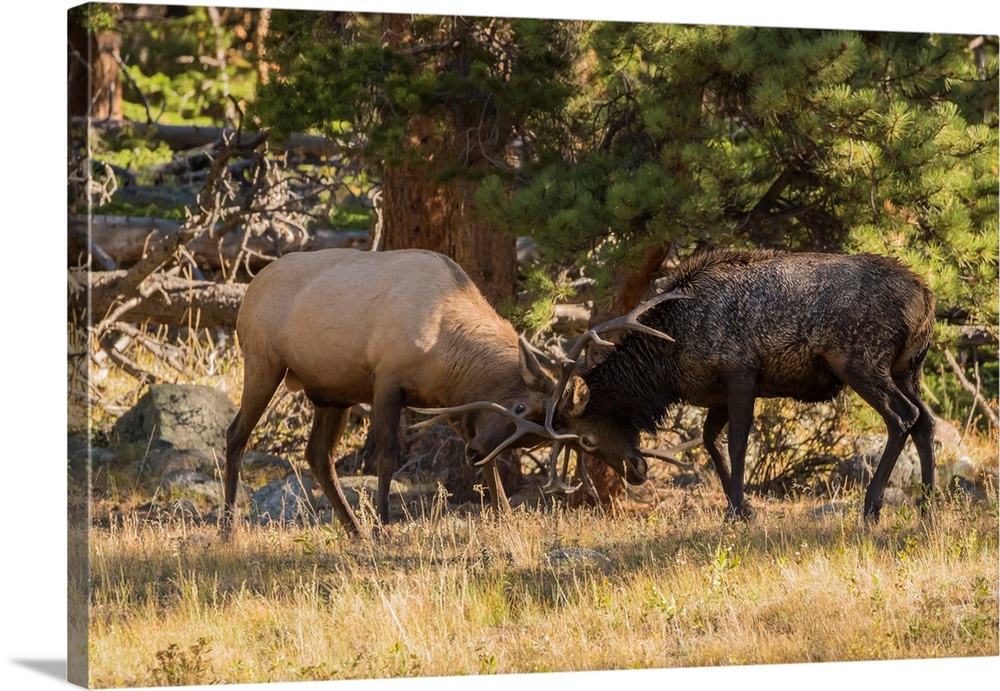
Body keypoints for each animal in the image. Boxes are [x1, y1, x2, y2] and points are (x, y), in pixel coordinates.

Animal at [225, 249, 572, 540]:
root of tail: (249, 292)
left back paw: (355, 531)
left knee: (318, 456)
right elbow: (387, 459)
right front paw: (383, 527)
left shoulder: (449, 402)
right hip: (263, 363)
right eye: (520, 406)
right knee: (236, 434)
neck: (446, 354)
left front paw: (506, 518)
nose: (474, 452)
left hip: (333, 394)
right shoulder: (387, 381)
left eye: (532, 440)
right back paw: (228, 530)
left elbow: (491, 463)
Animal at [544, 247, 932, 520]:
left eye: (587, 440)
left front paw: (735, 511)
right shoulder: (716, 391)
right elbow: (710, 440)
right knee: (925, 421)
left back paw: (872, 506)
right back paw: (927, 505)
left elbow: (738, 441)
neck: (668, 363)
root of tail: (927, 300)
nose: (636, 473)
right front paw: (742, 508)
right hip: (907, 370)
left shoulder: (741, 370)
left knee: (903, 417)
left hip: (860, 361)